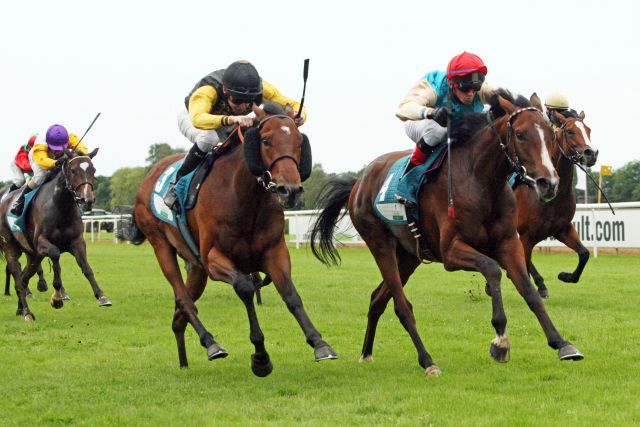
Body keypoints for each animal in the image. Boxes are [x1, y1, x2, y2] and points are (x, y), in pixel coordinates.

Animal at [0, 149, 111, 320]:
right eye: (73, 170)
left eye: (93, 170)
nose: (87, 199)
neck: (61, 207)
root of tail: (5, 200)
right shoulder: (42, 243)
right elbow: (55, 255)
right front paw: (57, 298)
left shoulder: (77, 241)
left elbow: (86, 267)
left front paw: (101, 296)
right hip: (10, 247)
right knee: (18, 278)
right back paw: (28, 312)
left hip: (33, 254)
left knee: (24, 278)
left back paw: (21, 309)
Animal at [122, 103, 338, 378]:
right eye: (266, 141)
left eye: (299, 142)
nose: (289, 190)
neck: (245, 197)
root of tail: (148, 178)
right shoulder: (214, 258)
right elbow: (245, 287)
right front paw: (260, 357)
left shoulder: (274, 252)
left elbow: (290, 294)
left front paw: (320, 343)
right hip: (162, 246)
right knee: (183, 299)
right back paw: (211, 343)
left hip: (196, 268)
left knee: (180, 313)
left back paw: (184, 360)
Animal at [310, 92, 584, 376]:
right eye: (520, 134)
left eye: (551, 136)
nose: (548, 182)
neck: (480, 179)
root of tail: (359, 182)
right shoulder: (451, 251)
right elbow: (492, 270)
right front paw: (500, 340)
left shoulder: (510, 243)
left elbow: (529, 292)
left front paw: (562, 343)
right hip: (380, 244)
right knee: (401, 306)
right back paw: (428, 361)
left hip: (409, 256)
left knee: (378, 298)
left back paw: (366, 354)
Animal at [516, 108, 600, 300]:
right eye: (570, 131)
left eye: (589, 130)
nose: (591, 153)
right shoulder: (526, 234)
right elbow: (524, 264)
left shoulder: (562, 228)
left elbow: (584, 254)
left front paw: (566, 276)